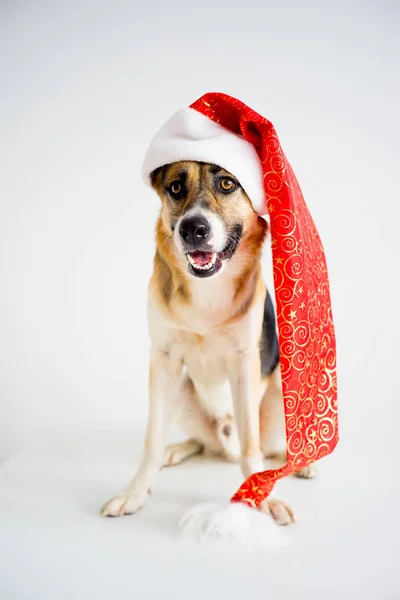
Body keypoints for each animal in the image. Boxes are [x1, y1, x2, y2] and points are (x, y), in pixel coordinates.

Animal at [101, 159, 316, 524]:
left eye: (228, 183)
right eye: (175, 187)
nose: (193, 229)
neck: (207, 289)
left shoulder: (245, 365)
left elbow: (251, 447)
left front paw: (261, 495)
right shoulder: (164, 362)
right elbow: (152, 440)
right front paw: (136, 492)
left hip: (278, 393)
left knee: (268, 449)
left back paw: (302, 464)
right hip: (181, 388)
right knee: (204, 443)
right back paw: (177, 450)